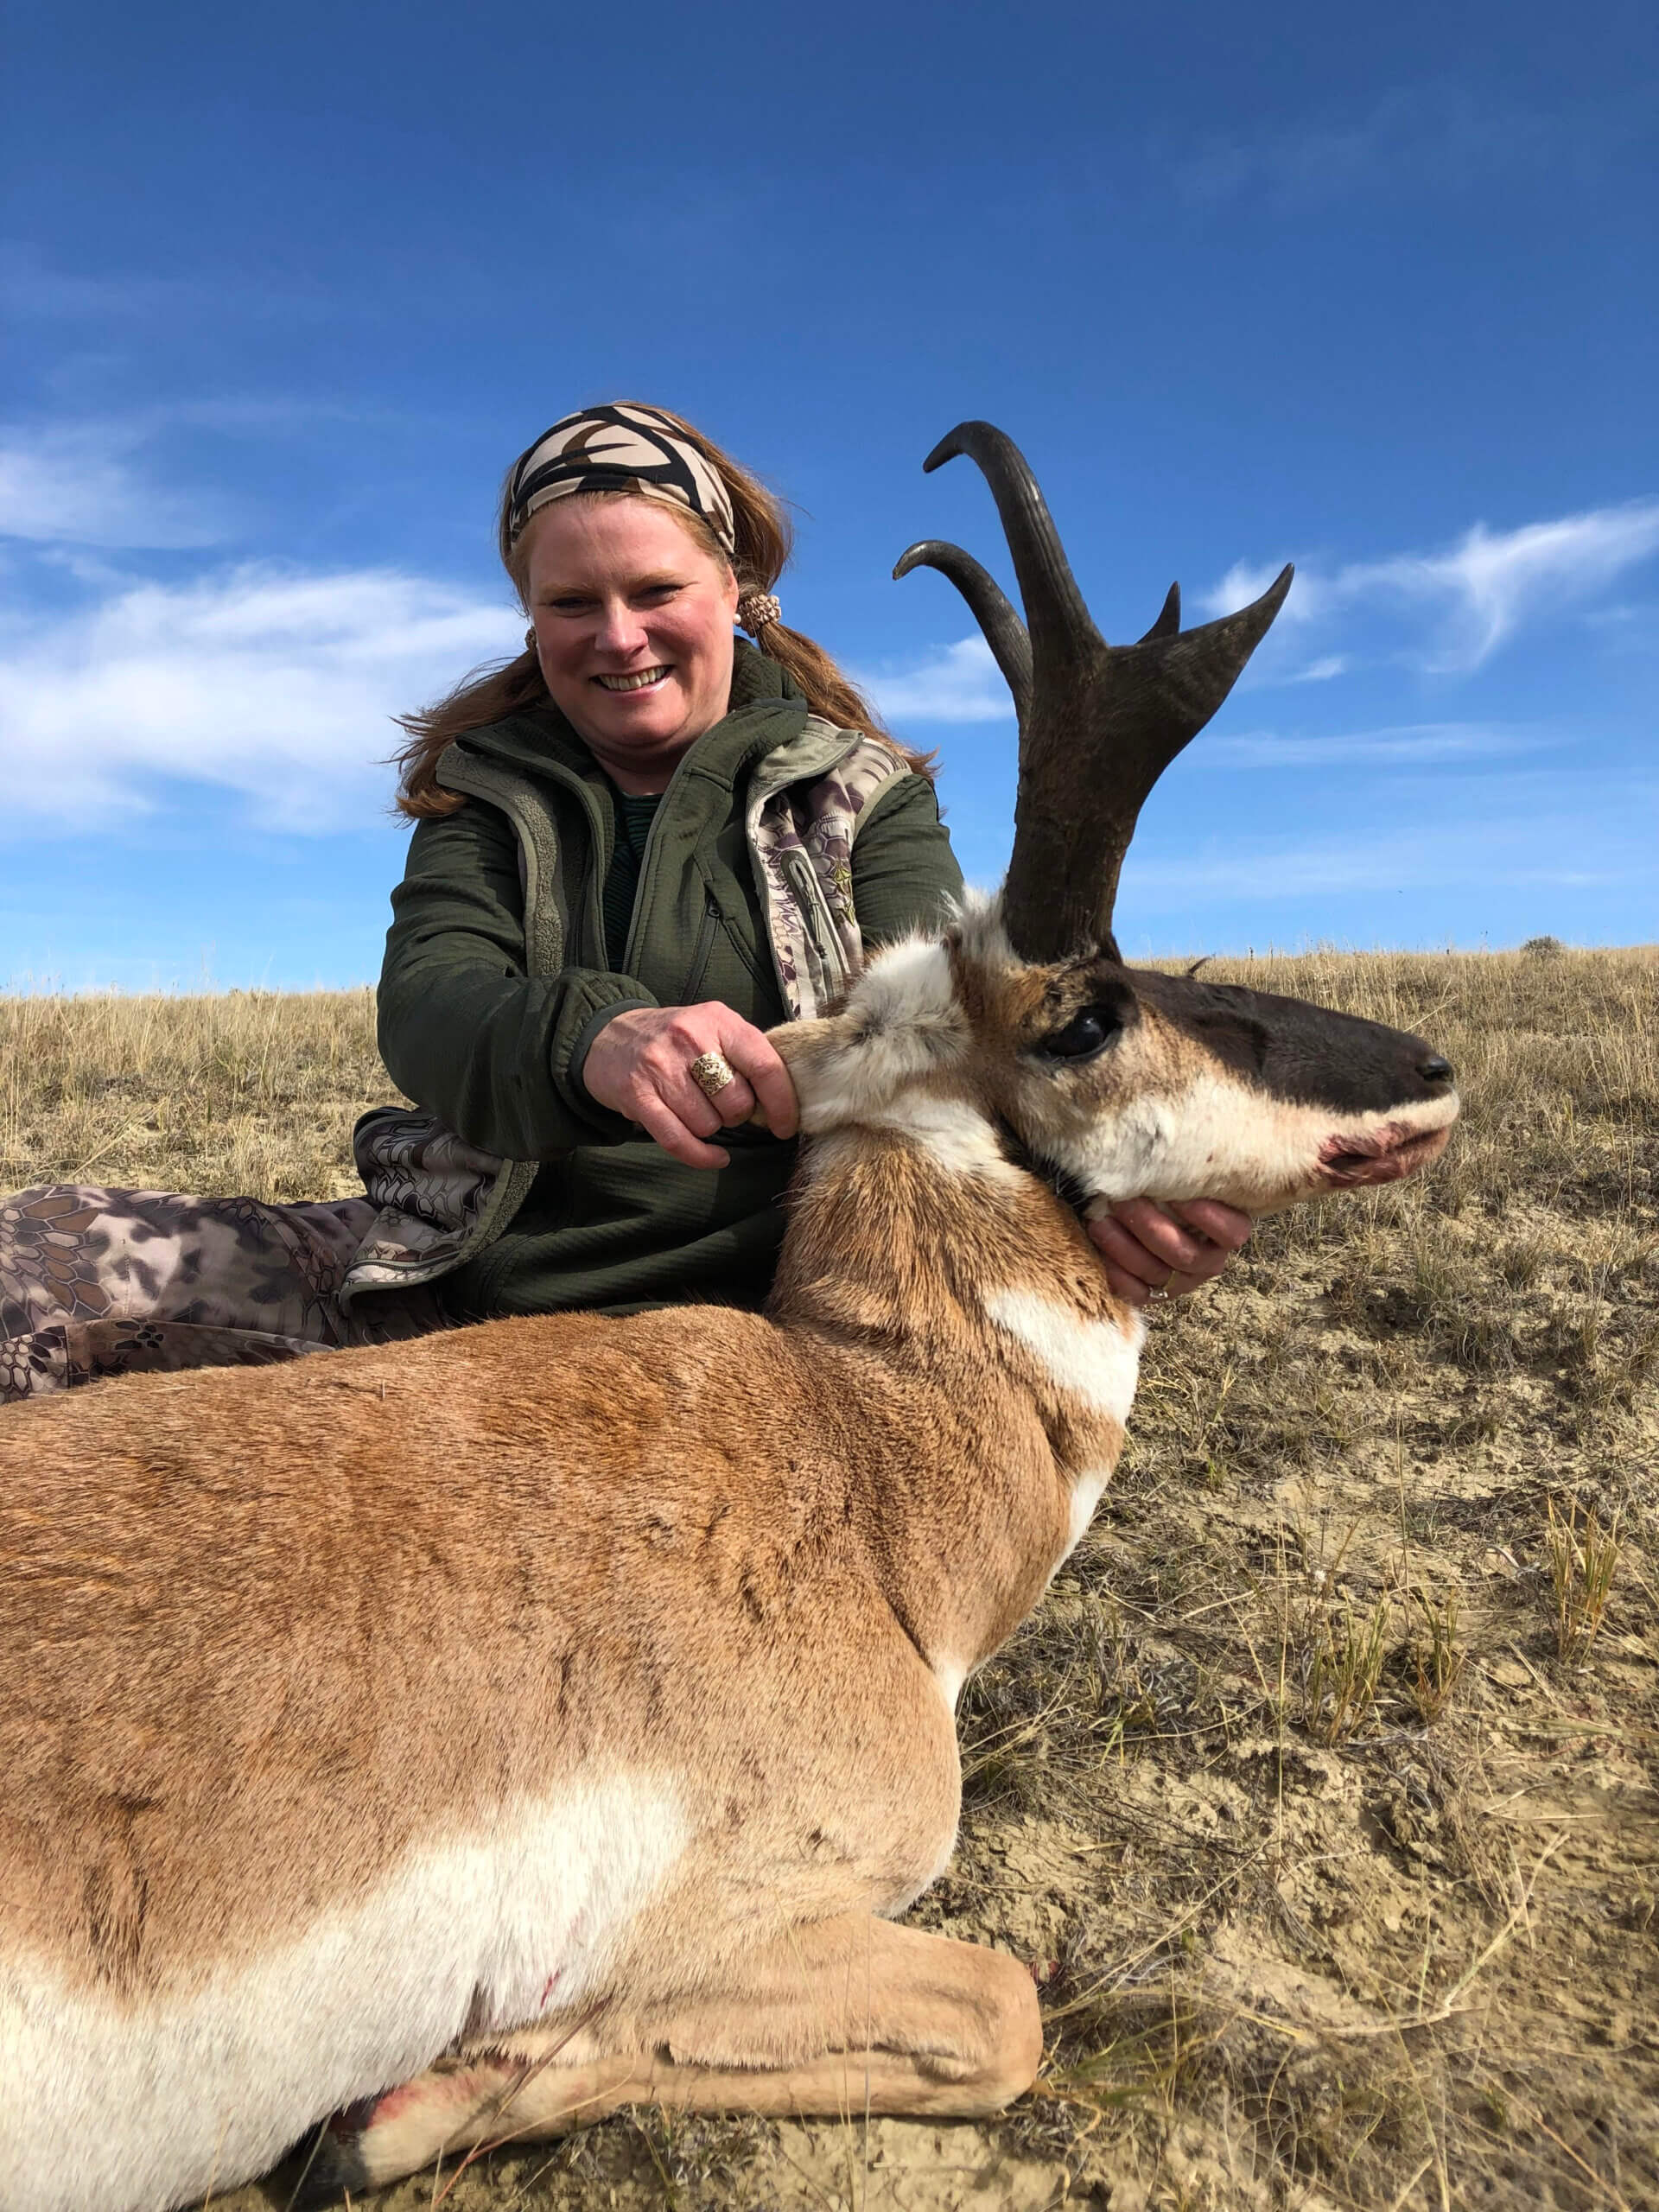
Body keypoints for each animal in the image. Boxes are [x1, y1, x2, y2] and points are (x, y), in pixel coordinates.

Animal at [0, 424, 1457, 2212]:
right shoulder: (759, 1908)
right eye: (1092, 1012)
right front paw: (401, 2114)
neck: (853, 1461)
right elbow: (1004, 2009)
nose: (1431, 1069)